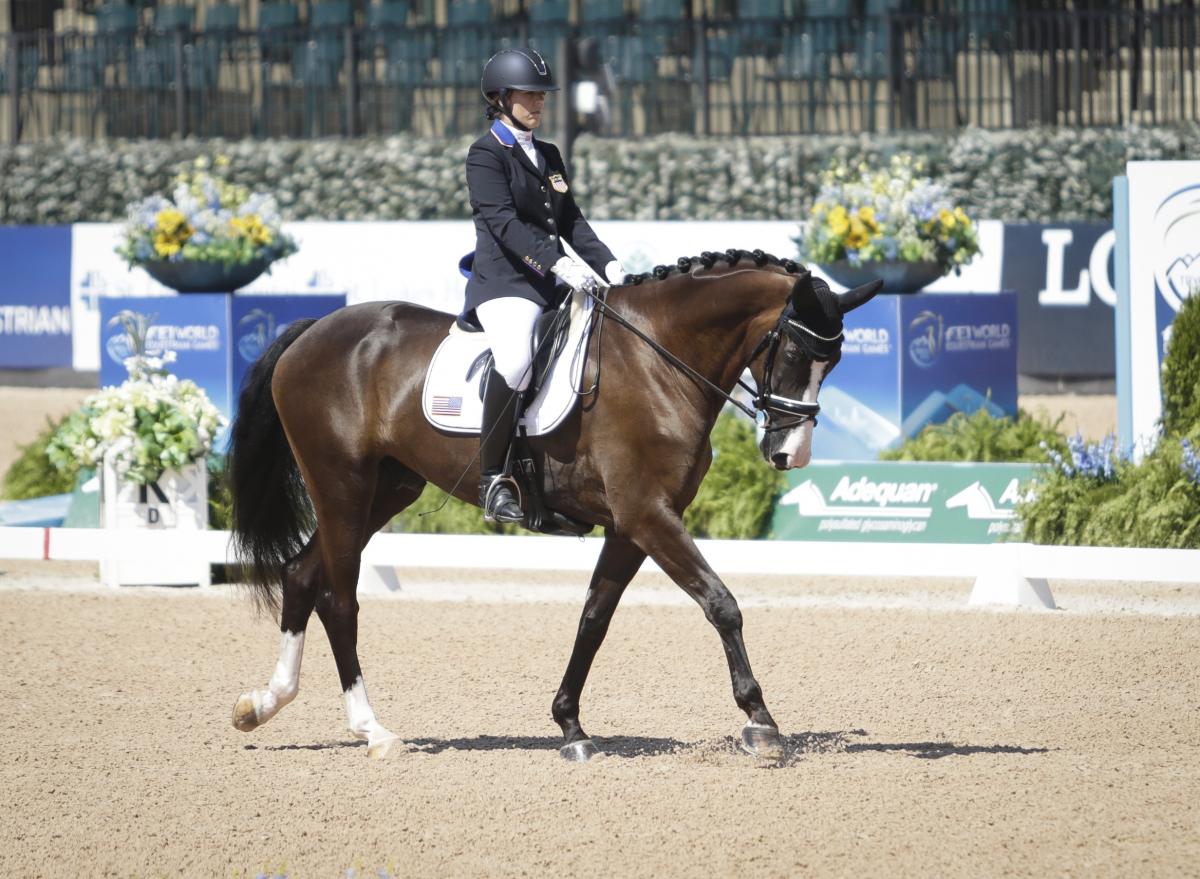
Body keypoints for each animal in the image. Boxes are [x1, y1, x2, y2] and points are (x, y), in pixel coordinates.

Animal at [226, 248, 883, 763]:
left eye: (834, 363)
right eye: (795, 355)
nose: (789, 454)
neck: (659, 359)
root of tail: (317, 328)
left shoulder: (631, 525)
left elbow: (594, 618)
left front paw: (570, 726)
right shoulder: (648, 514)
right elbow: (722, 604)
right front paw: (761, 721)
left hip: (387, 490)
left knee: (300, 572)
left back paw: (262, 704)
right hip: (341, 485)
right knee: (339, 600)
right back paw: (373, 730)